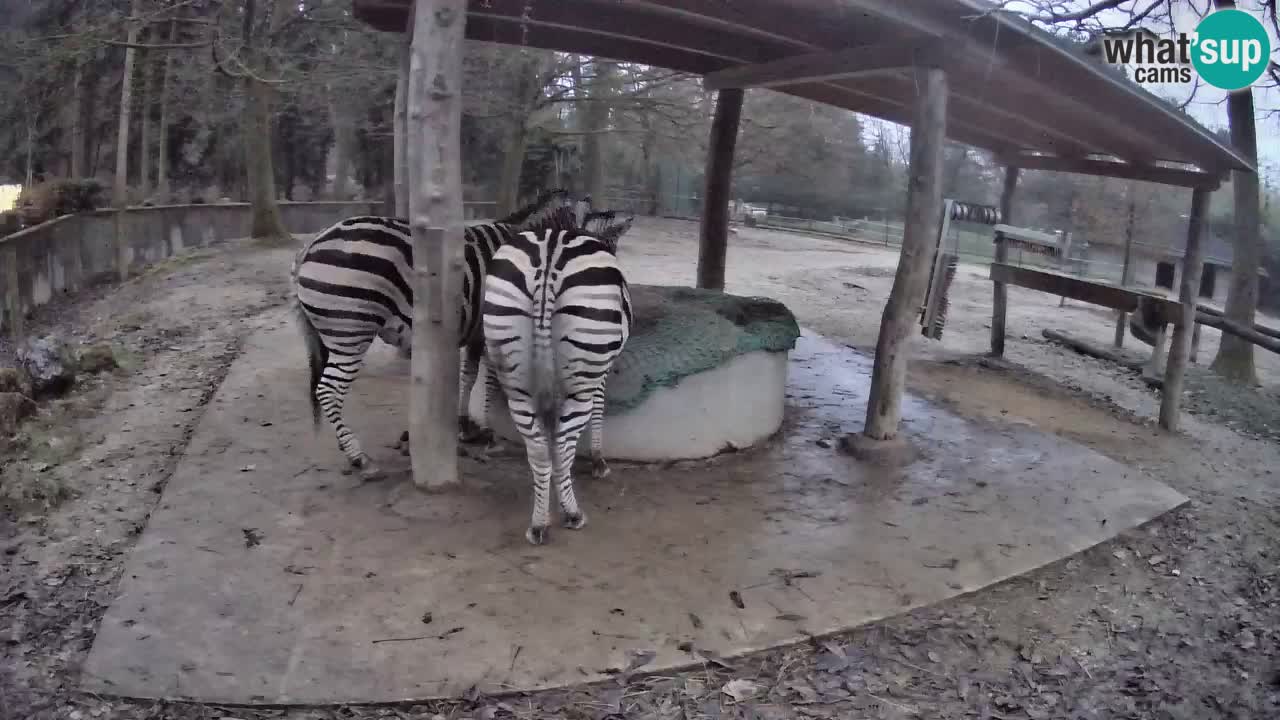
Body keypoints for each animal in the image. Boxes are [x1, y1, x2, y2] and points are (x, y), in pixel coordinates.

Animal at [291, 189, 578, 479]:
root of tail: (310, 244)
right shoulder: (494, 329)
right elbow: (489, 381)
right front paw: (490, 434)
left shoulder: (476, 332)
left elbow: (469, 376)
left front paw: (465, 426)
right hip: (350, 332)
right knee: (328, 390)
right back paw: (360, 458)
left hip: (331, 334)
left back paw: (347, 448)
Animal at [481, 211, 635, 545]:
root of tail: (549, 253)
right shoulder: (599, 375)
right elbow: (598, 410)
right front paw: (598, 461)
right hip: (583, 375)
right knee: (563, 444)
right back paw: (572, 514)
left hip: (514, 373)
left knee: (539, 449)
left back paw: (539, 523)